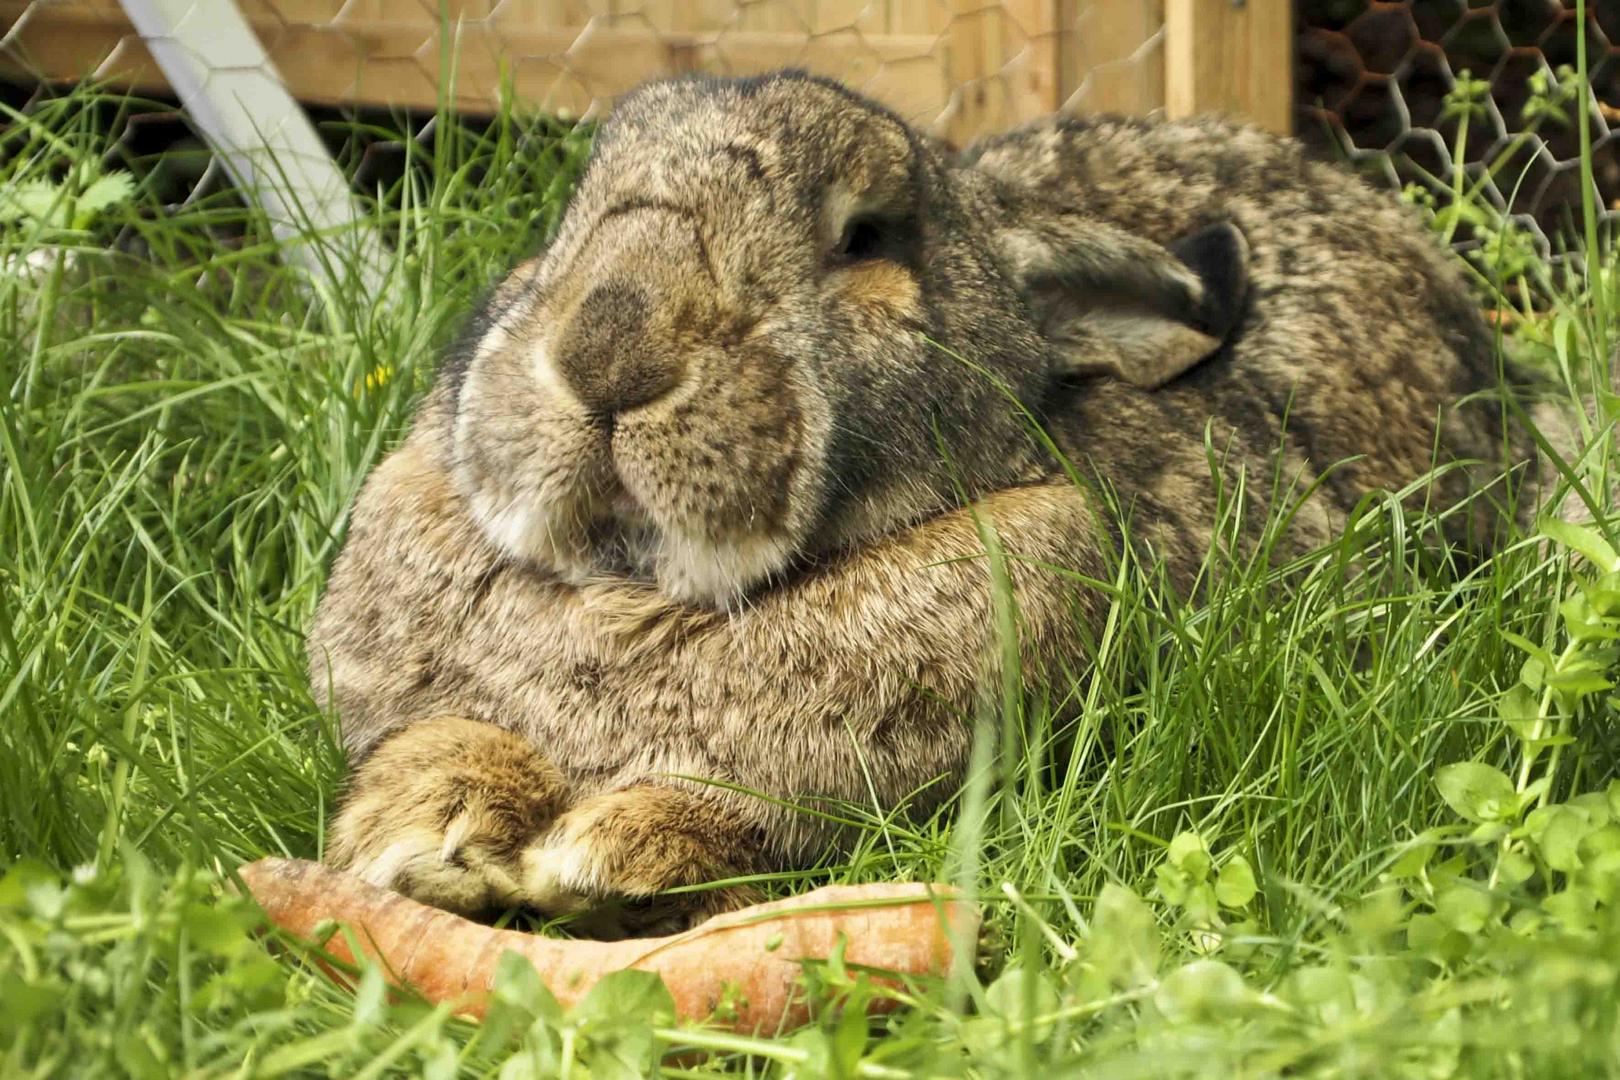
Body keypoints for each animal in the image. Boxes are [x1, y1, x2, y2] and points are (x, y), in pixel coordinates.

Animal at [312, 69, 1542, 939]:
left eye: (867, 238)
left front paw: (614, 852)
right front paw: (422, 833)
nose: (609, 349)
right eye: (571, 216)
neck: (646, 590)